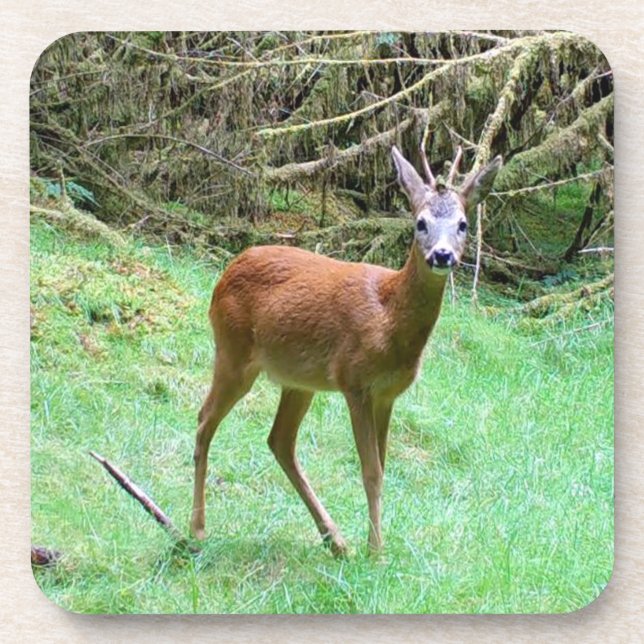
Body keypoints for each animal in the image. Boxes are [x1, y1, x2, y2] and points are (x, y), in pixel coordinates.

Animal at [190, 143, 502, 556]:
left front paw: (371, 546)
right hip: (233, 351)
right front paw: (377, 552)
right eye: (420, 222)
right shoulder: (355, 382)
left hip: (298, 380)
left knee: (280, 440)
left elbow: (383, 466)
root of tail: (227, 271)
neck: (389, 319)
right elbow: (370, 471)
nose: (441, 255)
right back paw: (197, 530)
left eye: (463, 224)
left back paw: (334, 539)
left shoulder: (387, 395)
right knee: (205, 420)